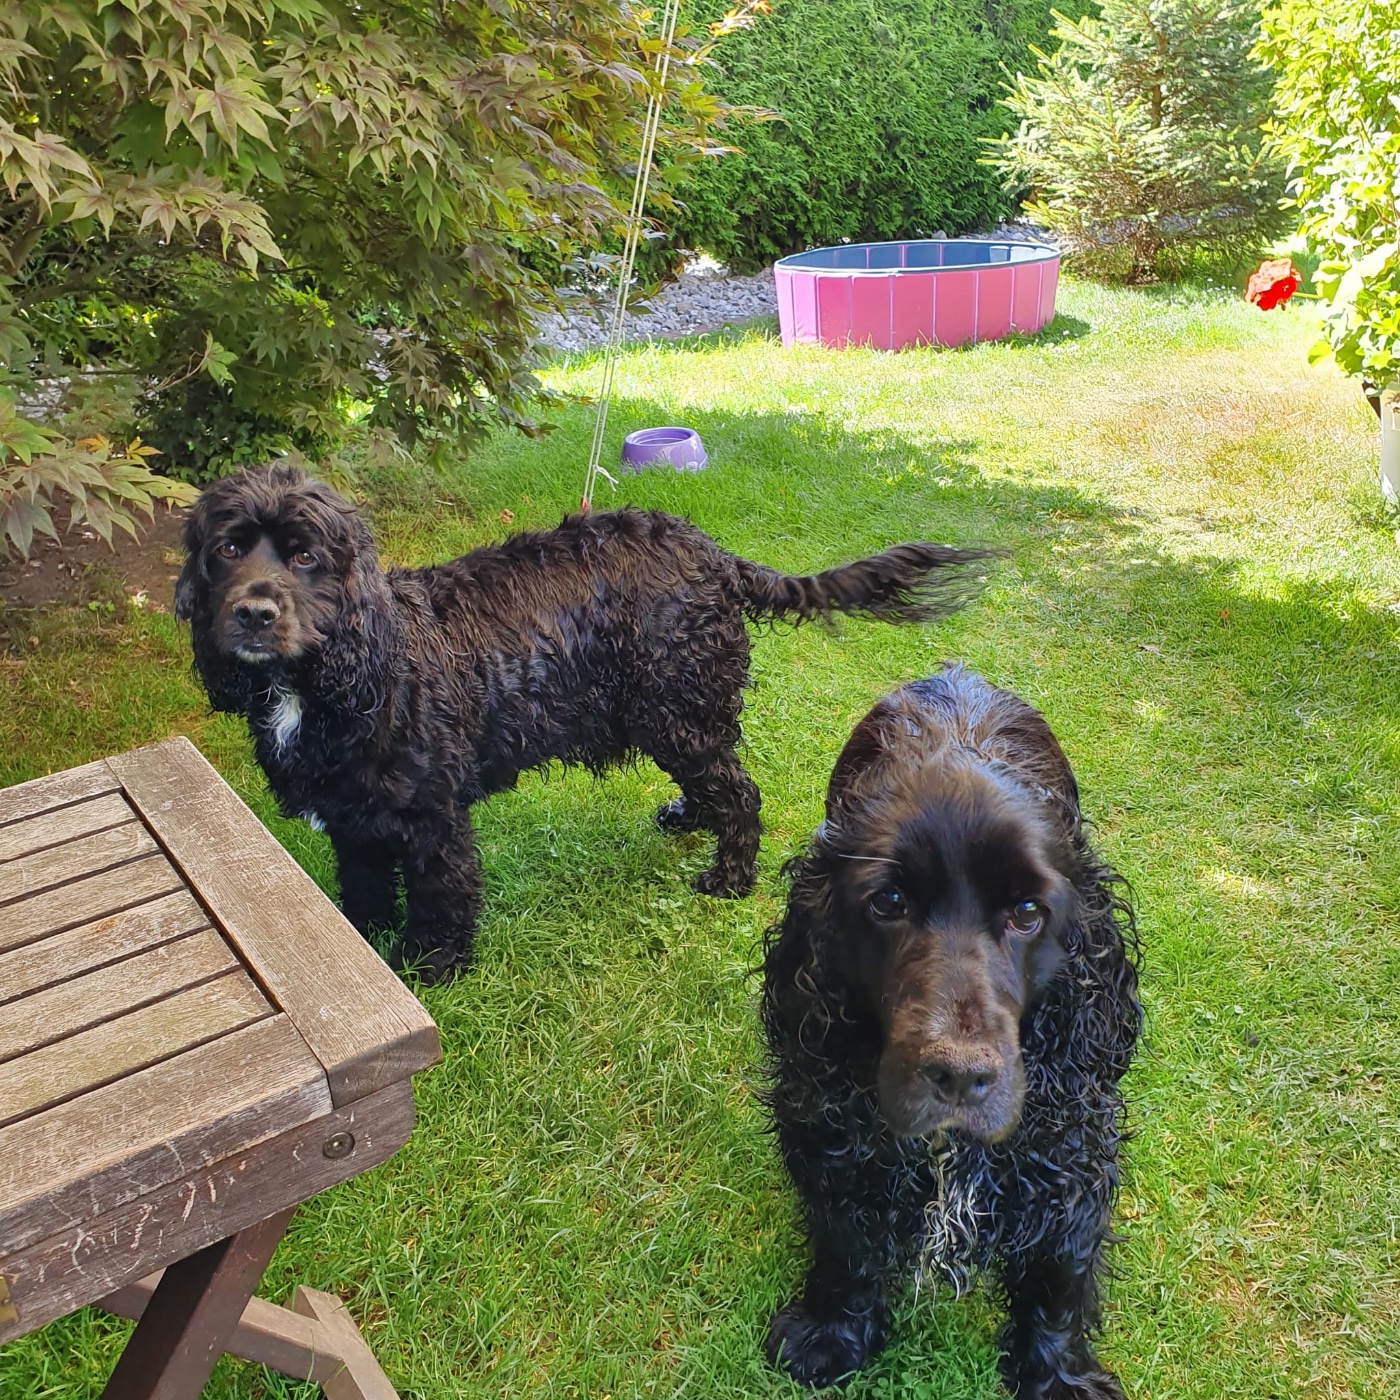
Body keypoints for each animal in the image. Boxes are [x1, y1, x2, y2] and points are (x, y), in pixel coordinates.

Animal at [176, 464, 990, 982]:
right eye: (227, 548)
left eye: (305, 555)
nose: (252, 613)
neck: (344, 674)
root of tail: (715, 555)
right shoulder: (356, 821)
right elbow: (366, 889)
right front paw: (367, 943)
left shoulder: (431, 817)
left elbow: (442, 896)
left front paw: (435, 968)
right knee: (718, 783)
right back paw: (687, 818)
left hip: (677, 707)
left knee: (741, 793)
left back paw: (729, 878)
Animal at [761, 666, 1141, 1397]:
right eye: (889, 902)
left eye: (1027, 911)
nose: (959, 1076)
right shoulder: (833, 1133)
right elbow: (843, 1244)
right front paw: (830, 1332)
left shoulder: (1073, 1149)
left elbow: (1058, 1277)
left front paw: (1060, 1376)